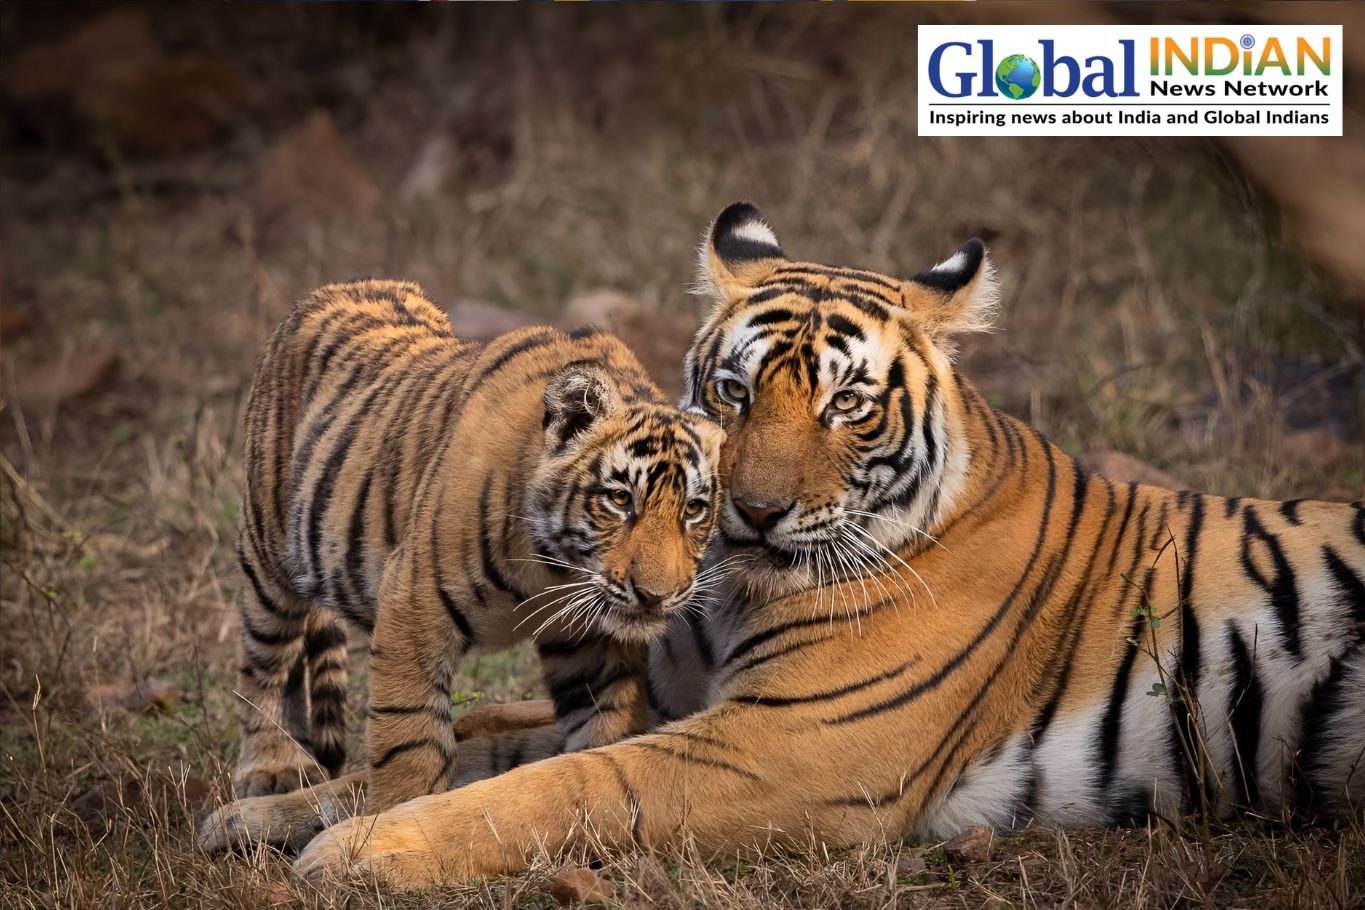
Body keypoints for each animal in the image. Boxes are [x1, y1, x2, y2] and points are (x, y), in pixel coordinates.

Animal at [213, 279, 725, 824]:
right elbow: (410, 739)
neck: (555, 570)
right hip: (268, 556)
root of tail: (328, 290)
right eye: (621, 499)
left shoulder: (591, 642)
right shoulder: (413, 604)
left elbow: (601, 730)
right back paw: (272, 768)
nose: (655, 596)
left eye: (694, 509)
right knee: (262, 659)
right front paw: (395, 820)